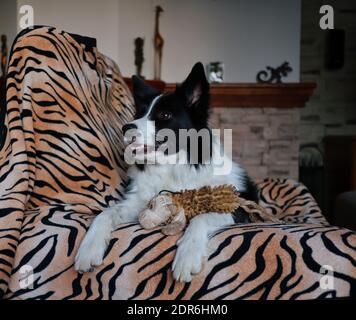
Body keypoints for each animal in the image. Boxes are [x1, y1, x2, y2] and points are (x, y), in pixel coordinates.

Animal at [76, 62, 258, 282]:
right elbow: (105, 213)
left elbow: (201, 218)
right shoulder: (137, 203)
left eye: (165, 115)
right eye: (140, 114)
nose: (125, 128)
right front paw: (89, 249)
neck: (170, 168)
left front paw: (188, 256)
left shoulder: (237, 210)